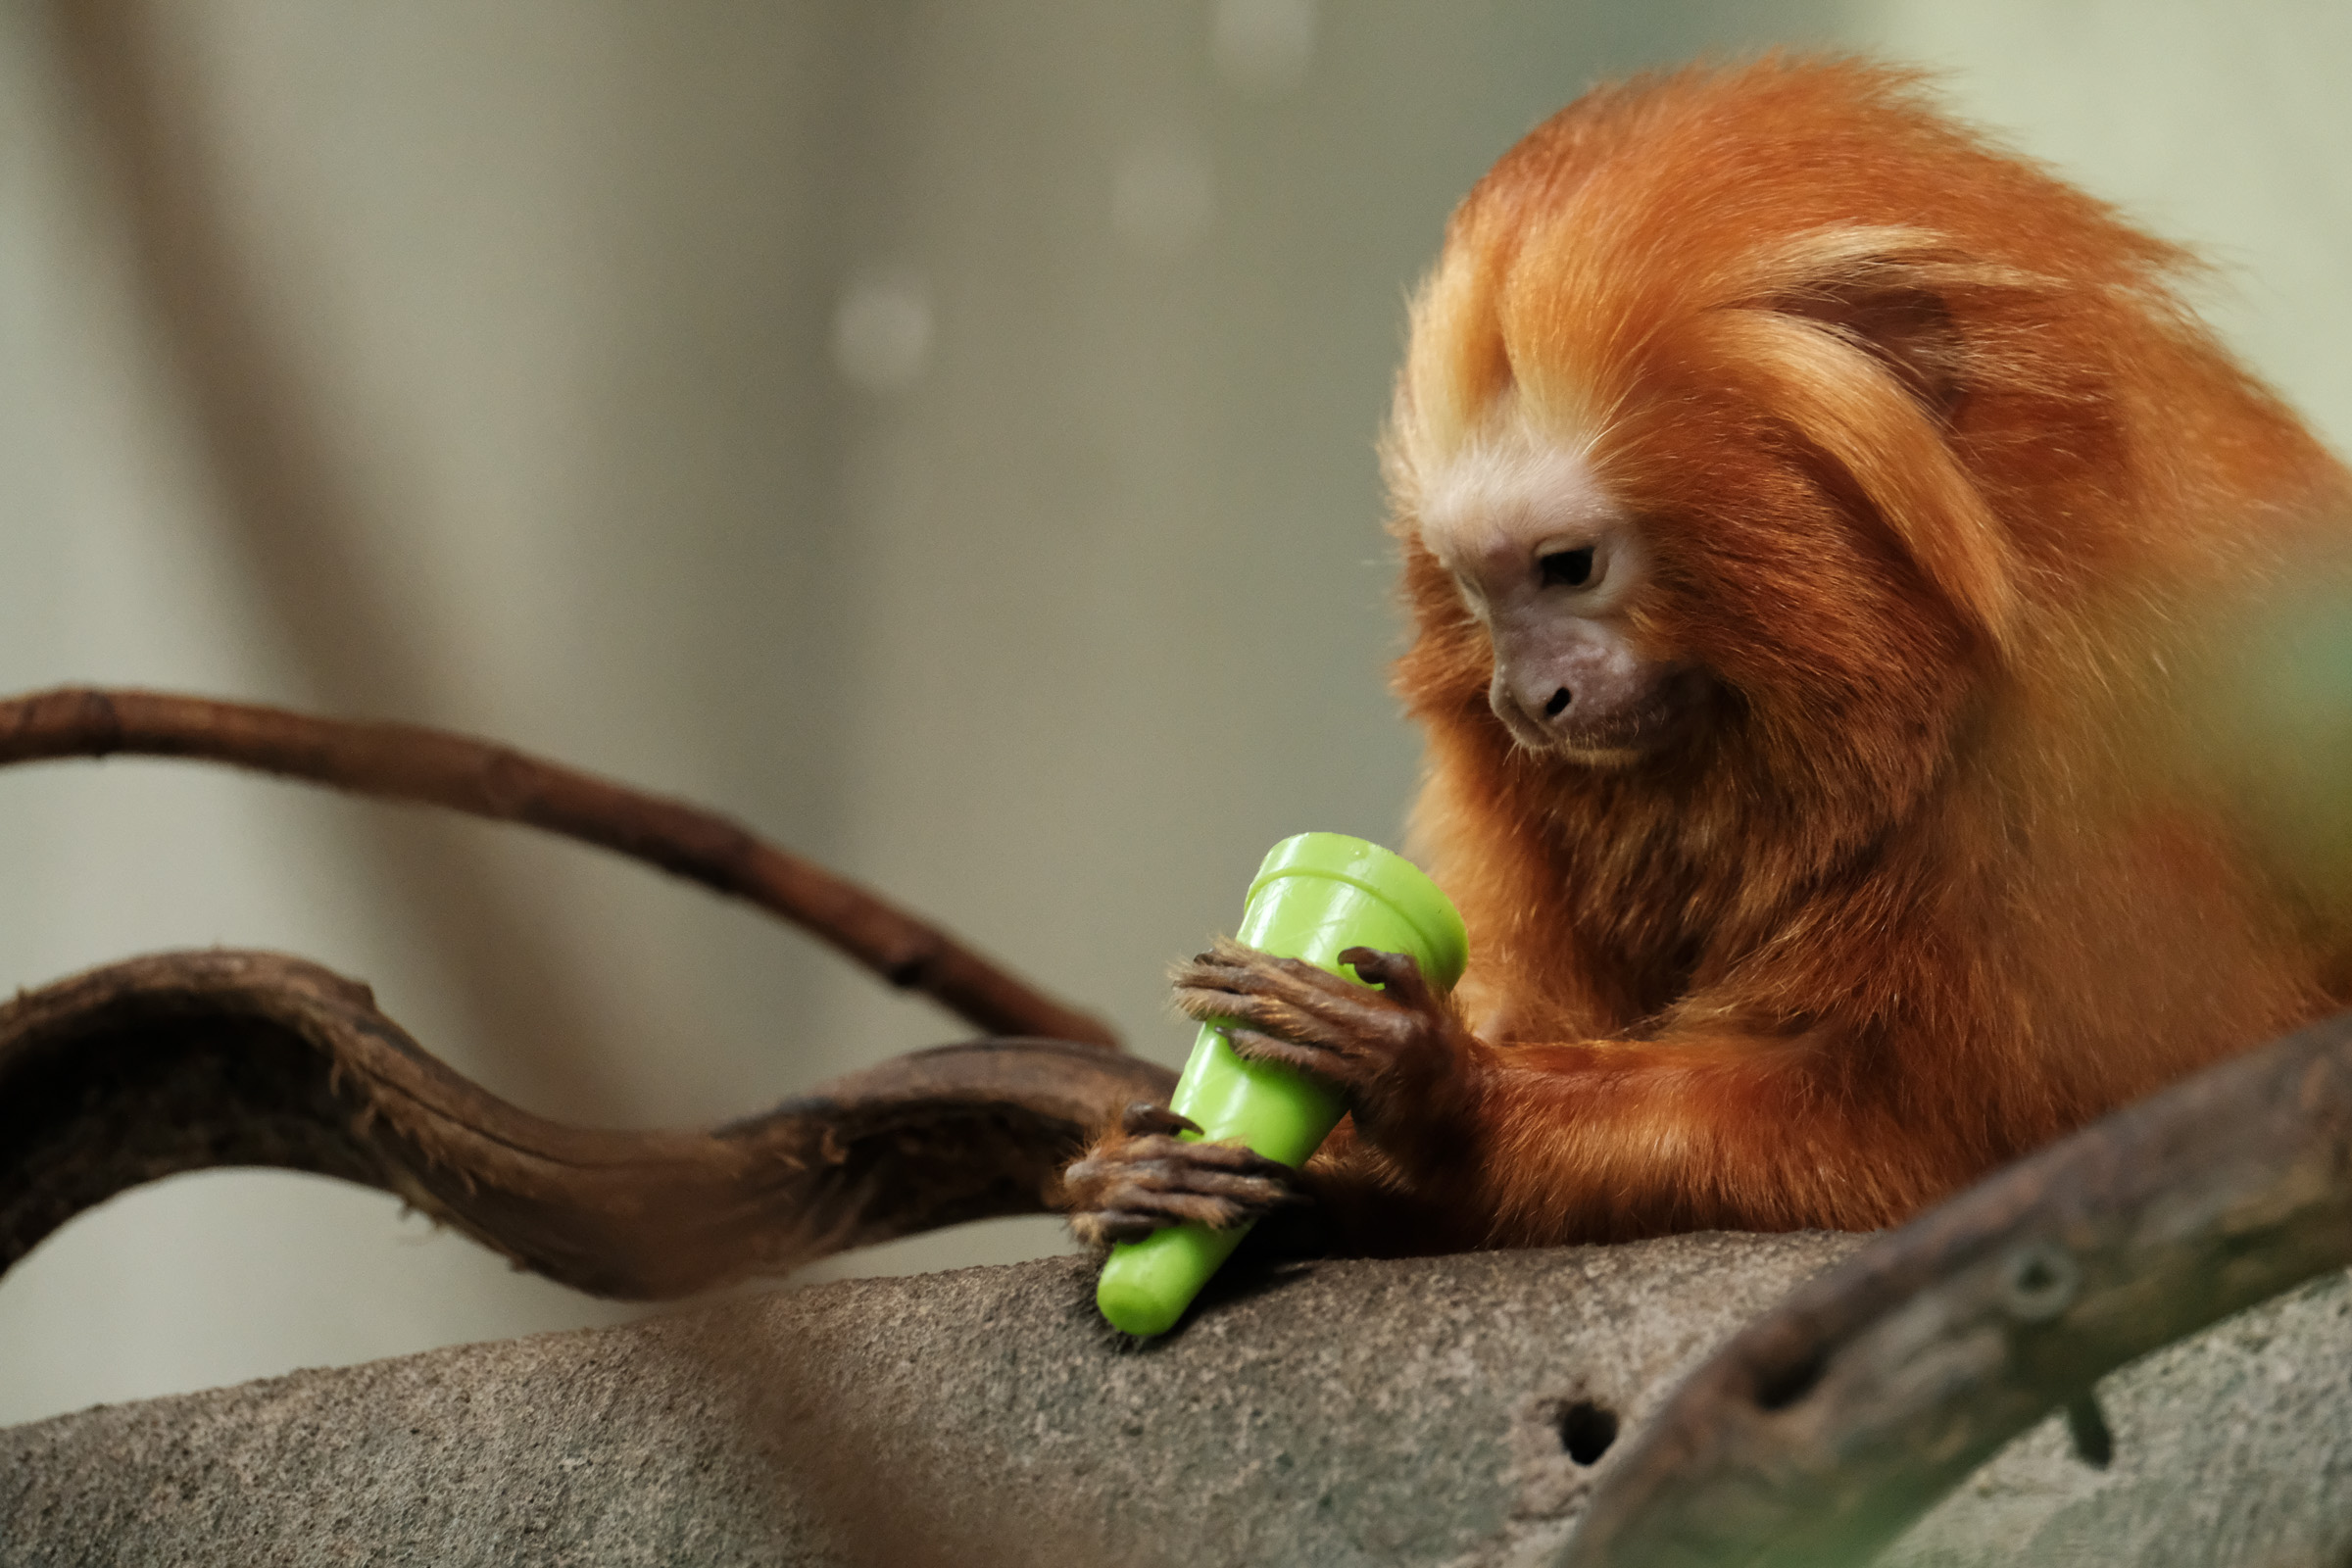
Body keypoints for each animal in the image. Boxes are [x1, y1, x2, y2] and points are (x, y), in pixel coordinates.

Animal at [1061, 57, 2352, 1257]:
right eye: (1478, 587)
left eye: (1568, 566)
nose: (1526, 699)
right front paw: (1157, 1172)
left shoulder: (2100, 794)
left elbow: (1979, 1147)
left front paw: (1438, 1088)